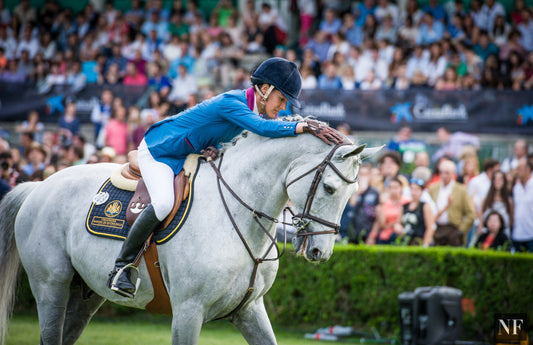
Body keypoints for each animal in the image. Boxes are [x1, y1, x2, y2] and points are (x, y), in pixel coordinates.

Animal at [2, 127, 380, 344]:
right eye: (329, 188)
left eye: (354, 193)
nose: (320, 252)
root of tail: (39, 186)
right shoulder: (188, 311)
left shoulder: (250, 310)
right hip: (51, 286)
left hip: (86, 295)